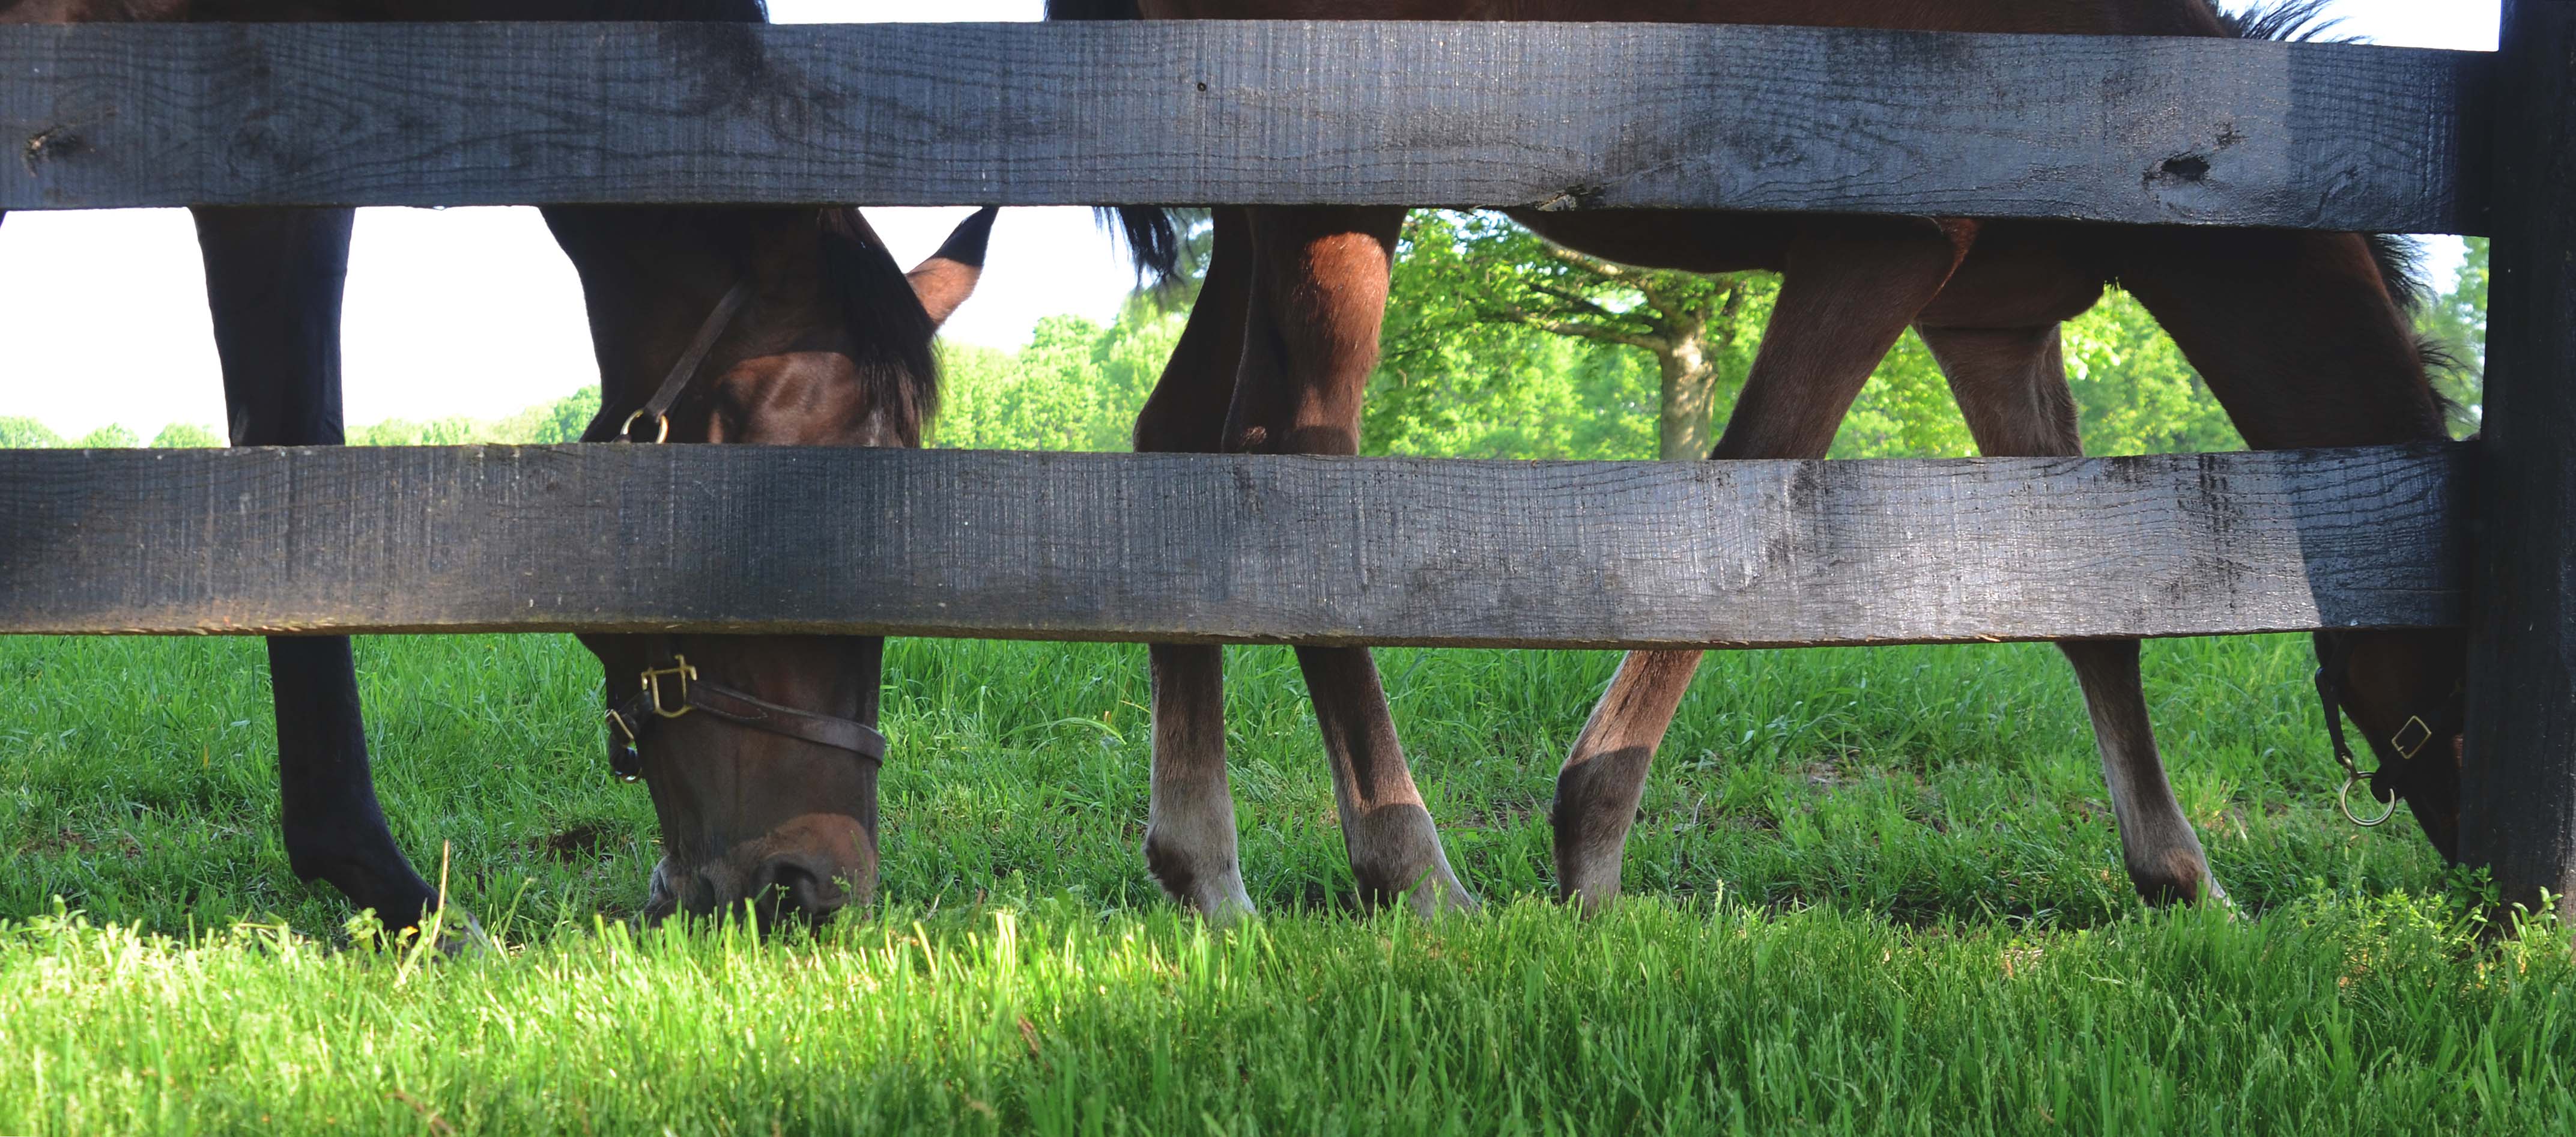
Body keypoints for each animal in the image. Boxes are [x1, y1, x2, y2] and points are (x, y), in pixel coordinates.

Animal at [1056, 0, 2462, 918]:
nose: (2492, 885)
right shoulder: (1881, 246)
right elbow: (1742, 496)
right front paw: (1588, 855)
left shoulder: (1989, 319)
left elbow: (2088, 613)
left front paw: (2183, 879)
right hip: (1331, 183)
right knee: (1291, 460)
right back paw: (1412, 868)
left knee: (1179, 445)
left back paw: (1208, 874)